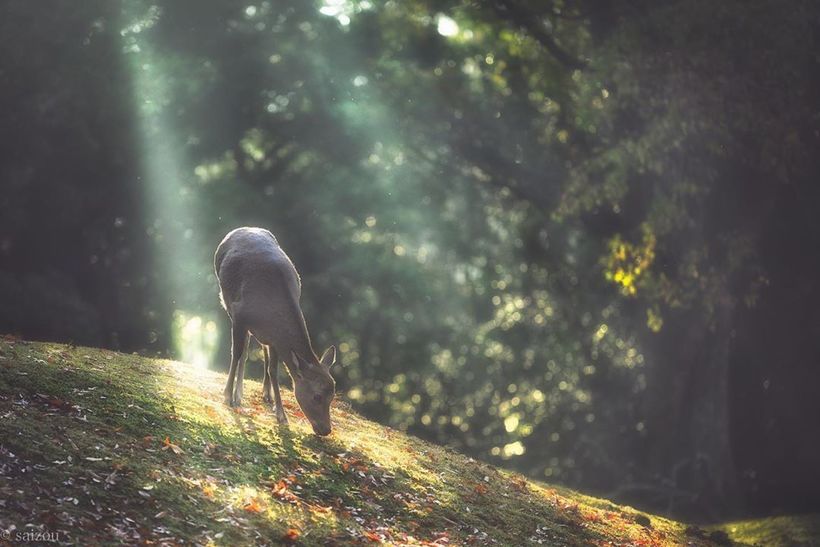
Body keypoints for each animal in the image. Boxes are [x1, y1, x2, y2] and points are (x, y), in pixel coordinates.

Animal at [216, 227, 338, 436]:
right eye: (317, 396)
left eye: (332, 396)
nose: (325, 429)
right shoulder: (240, 315)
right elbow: (237, 353)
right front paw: (227, 396)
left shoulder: (275, 339)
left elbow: (273, 370)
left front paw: (281, 415)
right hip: (228, 302)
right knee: (244, 350)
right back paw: (237, 395)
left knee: (257, 352)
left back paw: (262, 394)